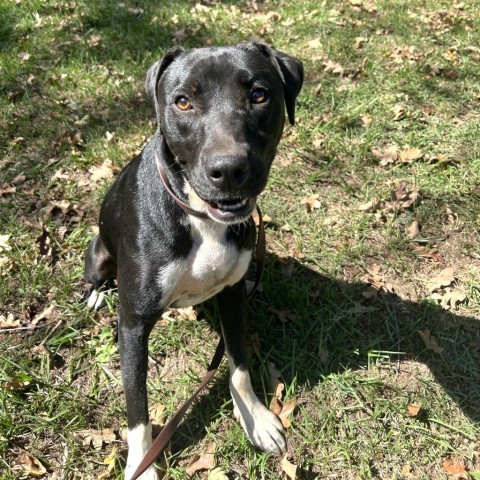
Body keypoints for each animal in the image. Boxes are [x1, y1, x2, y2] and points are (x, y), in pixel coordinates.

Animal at [84, 43, 302, 478]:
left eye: (259, 94)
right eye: (182, 101)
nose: (229, 169)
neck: (201, 217)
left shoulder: (234, 294)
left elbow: (238, 366)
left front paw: (254, 418)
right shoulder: (132, 324)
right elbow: (137, 409)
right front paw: (142, 465)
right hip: (97, 252)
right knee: (95, 275)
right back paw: (96, 294)